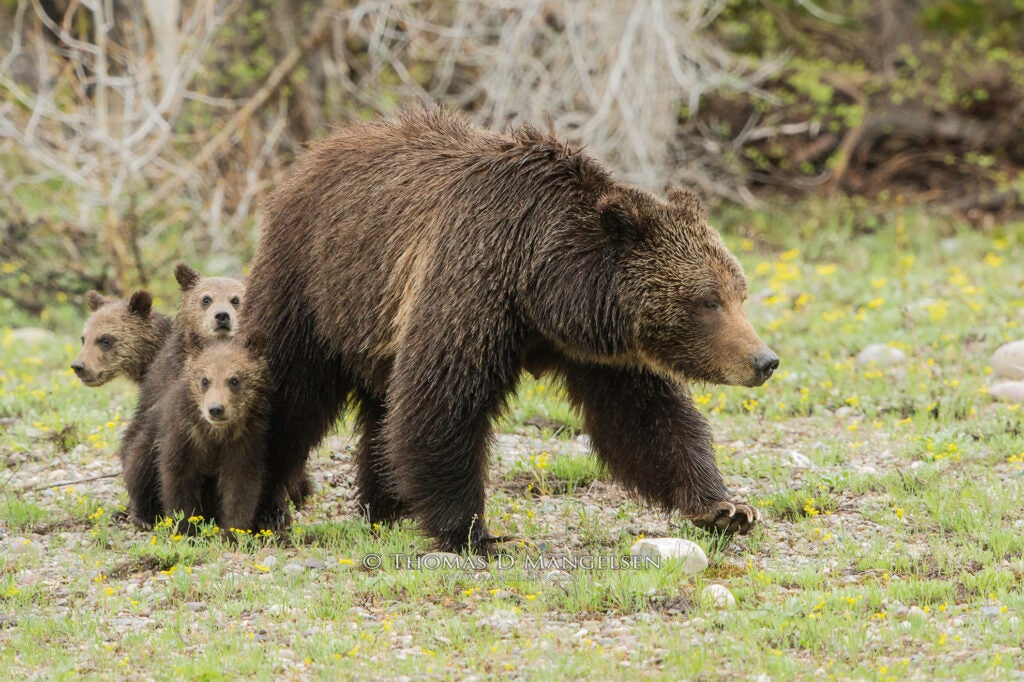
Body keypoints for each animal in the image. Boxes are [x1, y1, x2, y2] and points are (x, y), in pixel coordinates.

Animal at [154, 333, 268, 532]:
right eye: (205, 380)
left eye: (234, 380)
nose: (216, 409)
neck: (216, 435)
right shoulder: (184, 437)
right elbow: (177, 480)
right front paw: (184, 528)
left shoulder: (245, 441)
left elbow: (240, 486)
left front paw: (233, 531)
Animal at [245, 109, 774, 548]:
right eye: (708, 301)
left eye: (740, 293)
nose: (764, 360)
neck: (542, 286)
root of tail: (315, 151)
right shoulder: (474, 283)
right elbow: (442, 404)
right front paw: (476, 533)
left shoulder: (601, 350)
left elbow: (646, 418)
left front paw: (726, 507)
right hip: (312, 284)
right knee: (291, 395)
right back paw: (266, 509)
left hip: (373, 323)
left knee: (381, 408)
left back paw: (389, 507)